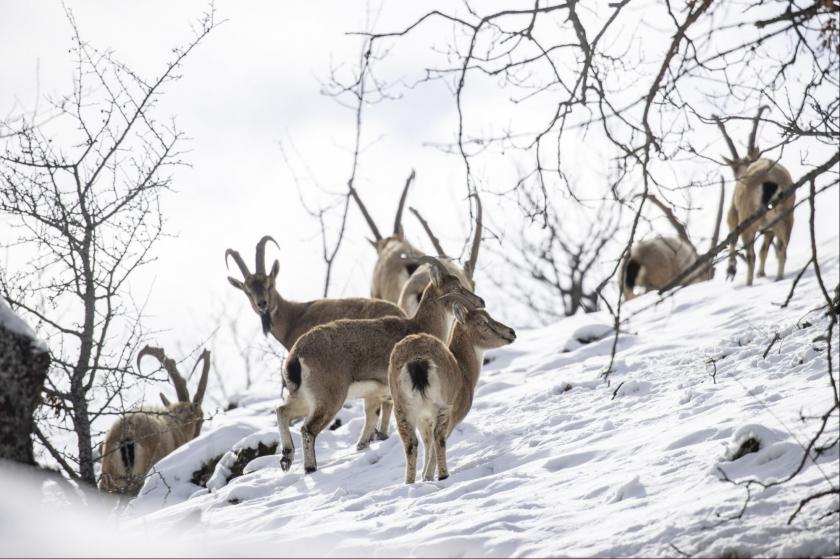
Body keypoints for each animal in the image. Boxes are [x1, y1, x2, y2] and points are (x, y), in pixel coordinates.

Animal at [99, 348, 210, 496]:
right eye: (201, 419)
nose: (197, 437)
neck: (178, 427)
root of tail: (127, 434)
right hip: (141, 476)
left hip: (108, 481)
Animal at [278, 258, 482, 472]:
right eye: (456, 288)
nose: (480, 302)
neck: (420, 327)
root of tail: (296, 355)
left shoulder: (374, 395)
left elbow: (370, 421)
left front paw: (363, 445)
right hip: (329, 399)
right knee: (307, 429)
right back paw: (310, 467)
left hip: (306, 397)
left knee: (282, 411)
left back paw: (286, 457)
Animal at [390, 304, 516, 484]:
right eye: (482, 322)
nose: (511, 332)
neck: (464, 372)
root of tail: (417, 361)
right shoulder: (453, 414)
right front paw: (428, 476)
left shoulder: (423, 418)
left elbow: (427, 442)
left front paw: (424, 477)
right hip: (442, 405)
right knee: (439, 437)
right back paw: (443, 475)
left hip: (401, 408)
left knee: (410, 443)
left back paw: (410, 482)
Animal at [716, 106, 796, 286]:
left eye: (734, 169)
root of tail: (769, 180)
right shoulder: (769, 229)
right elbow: (764, 250)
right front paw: (761, 273)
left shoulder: (734, 215)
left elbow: (732, 237)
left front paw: (731, 269)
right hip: (785, 217)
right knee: (782, 248)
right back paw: (779, 277)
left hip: (749, 222)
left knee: (751, 256)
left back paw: (748, 283)